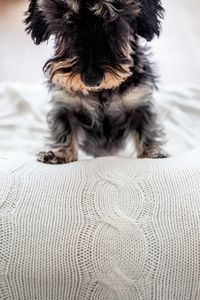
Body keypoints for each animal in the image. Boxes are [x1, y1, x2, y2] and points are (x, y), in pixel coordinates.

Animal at [24, 0, 166, 164]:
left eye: (112, 17)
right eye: (67, 18)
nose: (91, 79)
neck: (101, 91)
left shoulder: (139, 104)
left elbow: (146, 131)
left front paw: (151, 153)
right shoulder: (65, 106)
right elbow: (64, 130)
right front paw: (58, 153)